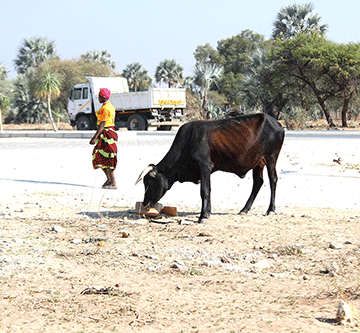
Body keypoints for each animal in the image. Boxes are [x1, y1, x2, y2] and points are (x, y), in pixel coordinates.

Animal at [135, 112, 284, 223]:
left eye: (149, 183)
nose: (145, 203)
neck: (188, 140)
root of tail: (277, 123)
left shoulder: (204, 166)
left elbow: (204, 191)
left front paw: (202, 216)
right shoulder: (207, 170)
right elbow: (210, 189)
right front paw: (208, 212)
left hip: (271, 158)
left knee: (273, 180)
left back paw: (270, 209)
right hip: (258, 163)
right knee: (258, 182)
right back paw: (244, 209)